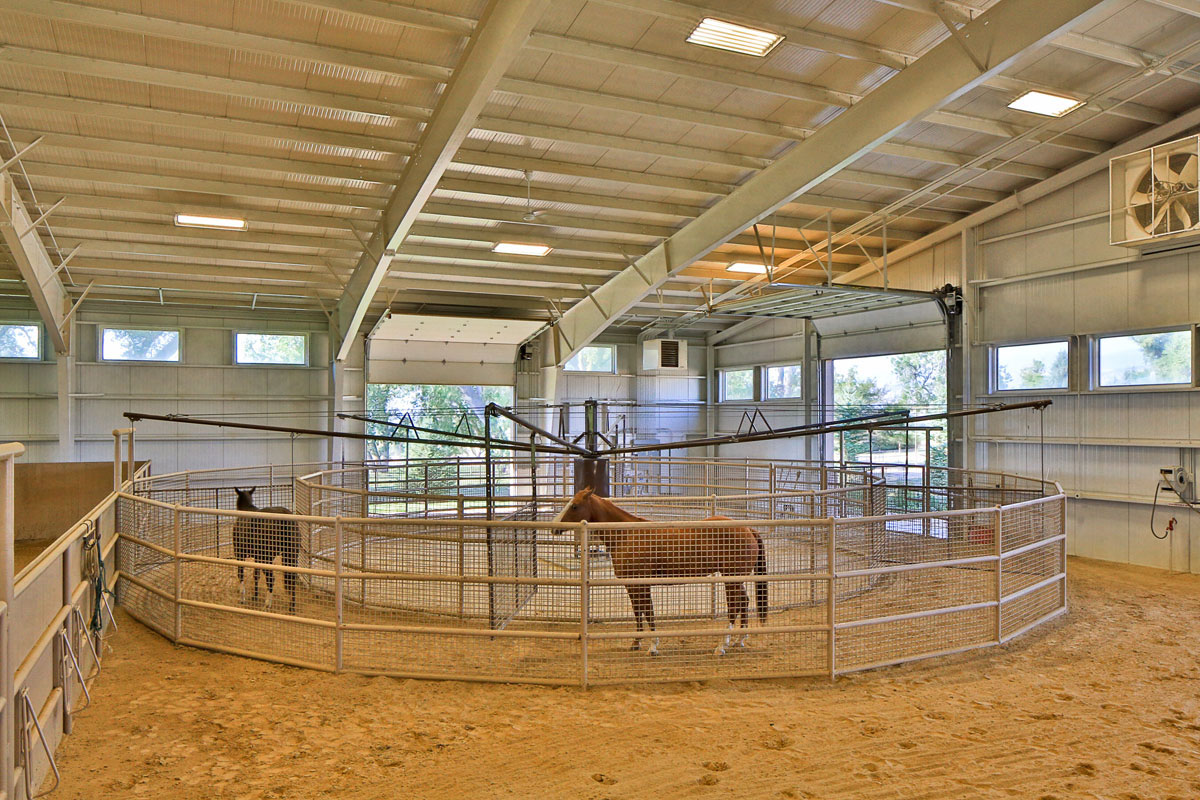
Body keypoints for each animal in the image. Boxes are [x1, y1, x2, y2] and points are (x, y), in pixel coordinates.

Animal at [559, 487, 767, 656]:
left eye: (575, 506)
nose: (556, 528)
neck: (627, 534)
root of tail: (748, 529)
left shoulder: (639, 583)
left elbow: (647, 612)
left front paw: (652, 646)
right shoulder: (633, 584)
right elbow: (640, 612)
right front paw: (637, 643)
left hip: (731, 578)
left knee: (734, 606)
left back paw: (721, 646)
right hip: (736, 578)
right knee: (744, 601)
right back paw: (738, 640)